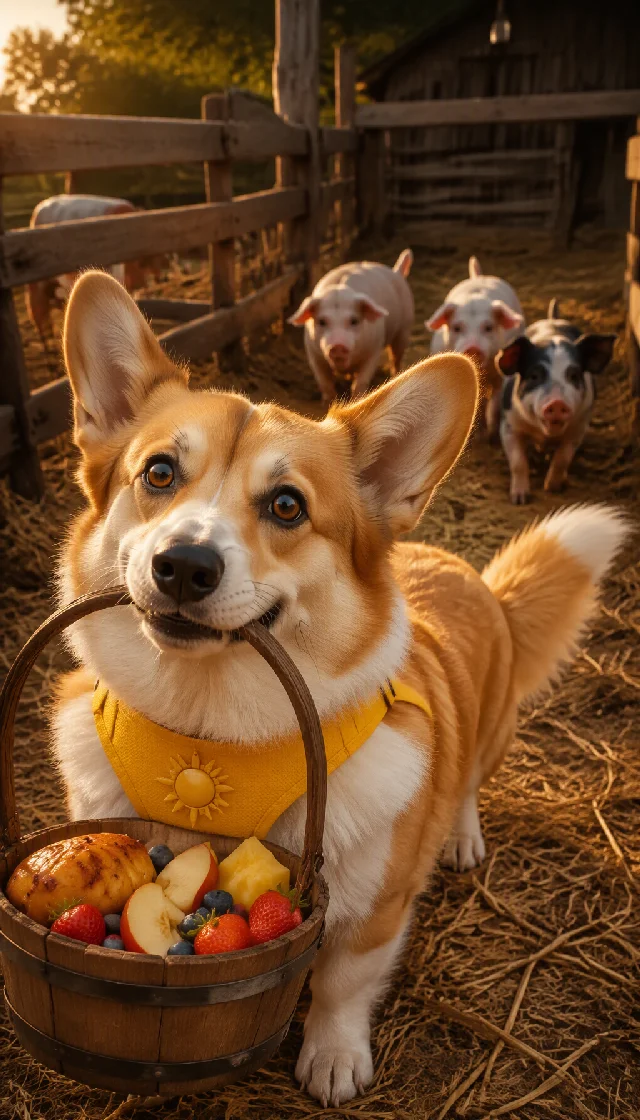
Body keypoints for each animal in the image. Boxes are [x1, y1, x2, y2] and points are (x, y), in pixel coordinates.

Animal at [289, 249, 414, 402]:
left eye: (354, 321)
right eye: (322, 321)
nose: (338, 345)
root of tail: (396, 272)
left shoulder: (374, 350)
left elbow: (360, 383)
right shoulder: (313, 355)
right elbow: (325, 384)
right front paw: (329, 402)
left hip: (405, 328)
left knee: (396, 357)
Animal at [426, 256, 524, 437]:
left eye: (488, 327)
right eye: (457, 327)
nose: (472, 348)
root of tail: (479, 277)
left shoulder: (500, 375)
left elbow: (495, 402)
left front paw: (491, 433)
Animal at [496, 299, 616, 504]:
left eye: (574, 376)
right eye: (534, 376)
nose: (557, 402)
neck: (546, 435)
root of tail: (553, 319)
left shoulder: (579, 427)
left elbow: (563, 458)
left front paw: (553, 489)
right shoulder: (508, 425)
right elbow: (518, 462)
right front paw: (520, 499)